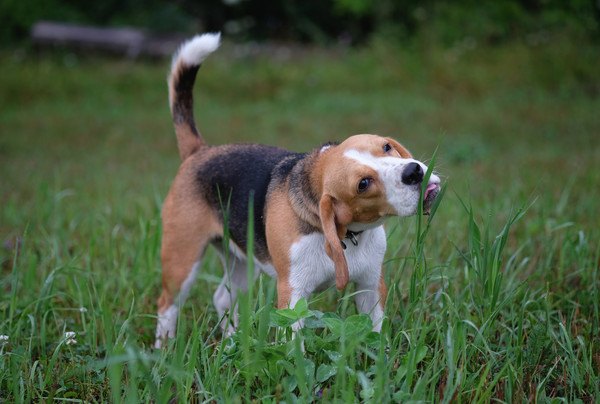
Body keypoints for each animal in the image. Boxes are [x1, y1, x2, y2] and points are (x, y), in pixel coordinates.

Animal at [152, 33, 438, 348]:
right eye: (363, 184)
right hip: (182, 259)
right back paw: (163, 350)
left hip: (241, 262)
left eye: (386, 147)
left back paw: (230, 342)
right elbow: (293, 347)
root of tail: (200, 151)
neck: (347, 235)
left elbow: (373, 333)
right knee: (167, 305)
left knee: (223, 299)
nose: (414, 172)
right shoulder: (293, 295)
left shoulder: (370, 286)